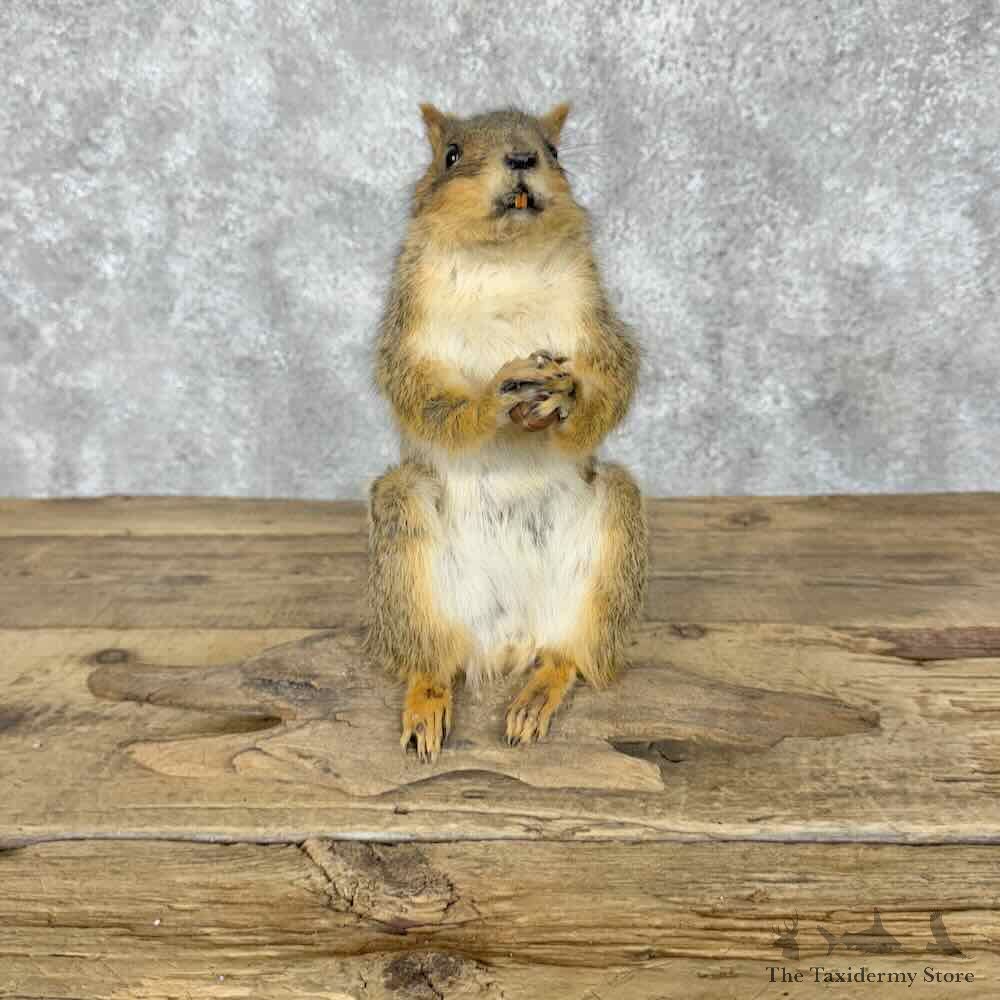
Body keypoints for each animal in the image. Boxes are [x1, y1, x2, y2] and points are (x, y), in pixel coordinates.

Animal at [365, 102, 647, 760]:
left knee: (569, 654)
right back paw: (426, 703)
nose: (521, 158)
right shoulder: (407, 329)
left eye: (552, 150)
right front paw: (493, 400)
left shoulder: (596, 320)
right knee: (431, 658)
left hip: (608, 555)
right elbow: (420, 392)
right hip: (406, 554)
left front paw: (567, 398)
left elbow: (613, 377)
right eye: (450, 154)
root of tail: (506, 642)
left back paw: (536, 695)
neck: (504, 259)